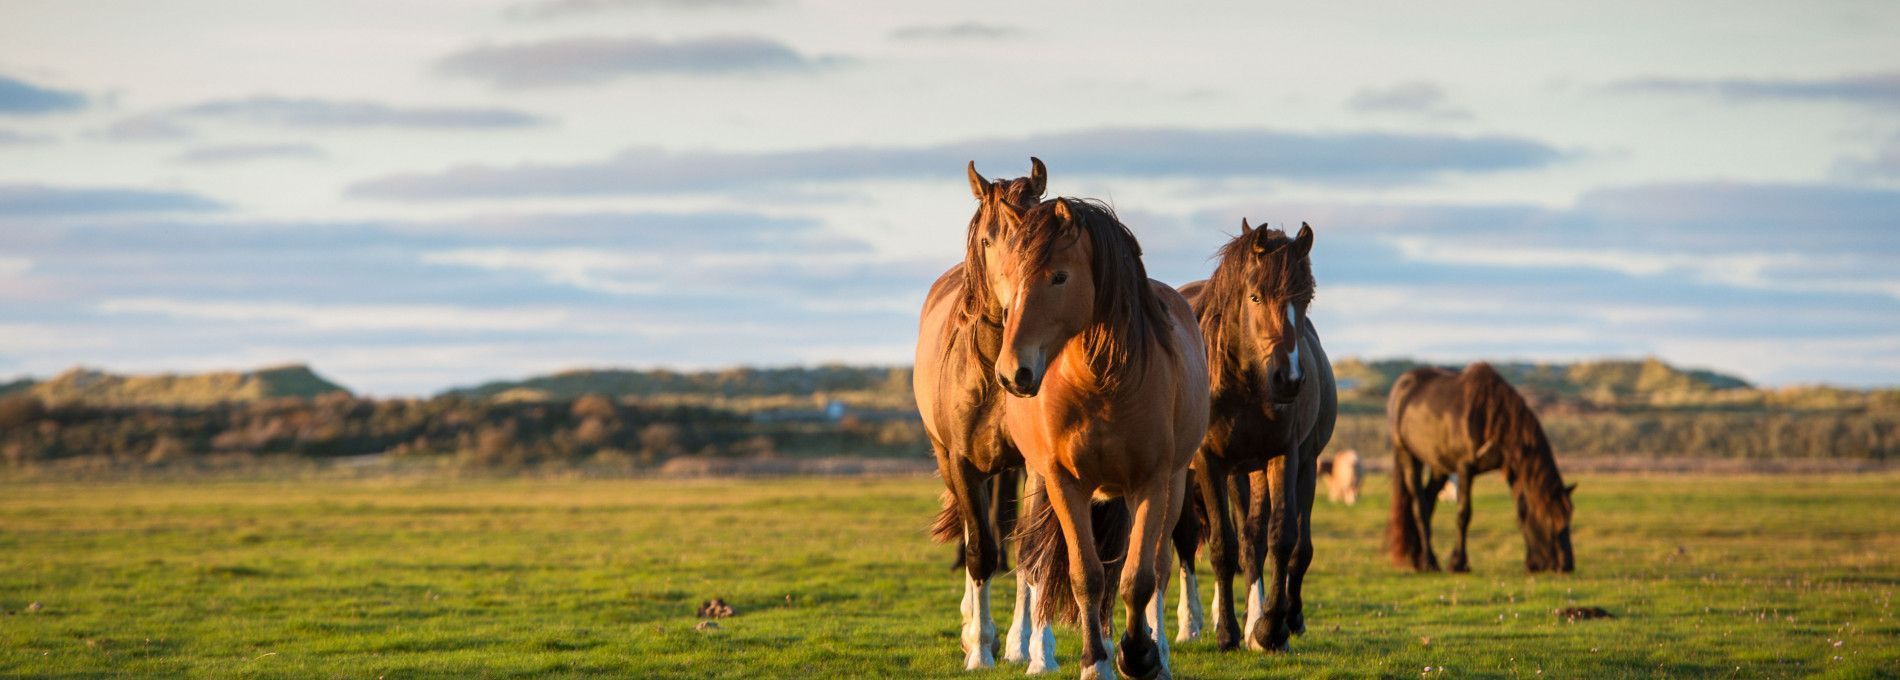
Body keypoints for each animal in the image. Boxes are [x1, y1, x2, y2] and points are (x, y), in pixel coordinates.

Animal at [912, 155, 1048, 668]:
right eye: (989, 240)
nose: (1020, 309)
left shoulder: (1034, 466)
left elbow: (1028, 551)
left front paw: (1029, 648)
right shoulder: (963, 464)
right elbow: (979, 554)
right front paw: (979, 649)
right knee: (977, 541)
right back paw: (973, 629)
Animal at [995, 197, 1200, 680]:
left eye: (1059, 276)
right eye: (1007, 276)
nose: (1013, 372)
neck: (1099, 383)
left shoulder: (1150, 482)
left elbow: (1139, 578)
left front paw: (1138, 655)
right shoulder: (1064, 483)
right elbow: (1087, 576)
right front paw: (1095, 662)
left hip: (1174, 483)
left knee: (1159, 566)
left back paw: (1159, 654)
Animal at [1162, 220, 1345, 649]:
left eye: (1306, 297)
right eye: (1255, 296)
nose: (1289, 380)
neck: (1243, 385)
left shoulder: (1285, 456)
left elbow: (1280, 538)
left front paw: (1269, 627)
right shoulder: (1210, 463)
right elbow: (1222, 548)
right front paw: (1227, 632)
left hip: (1267, 470)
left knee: (1265, 541)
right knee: (1185, 540)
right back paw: (1189, 624)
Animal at [1390, 360, 1580, 573]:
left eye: (1568, 518)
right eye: (1548, 519)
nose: (1566, 565)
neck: (1490, 414)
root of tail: (1403, 383)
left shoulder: (1512, 469)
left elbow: (1520, 509)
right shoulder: (1465, 468)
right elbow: (1463, 514)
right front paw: (1458, 563)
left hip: (1439, 465)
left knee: (1429, 501)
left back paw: (1420, 559)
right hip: (1407, 455)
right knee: (1419, 506)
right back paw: (1429, 562)